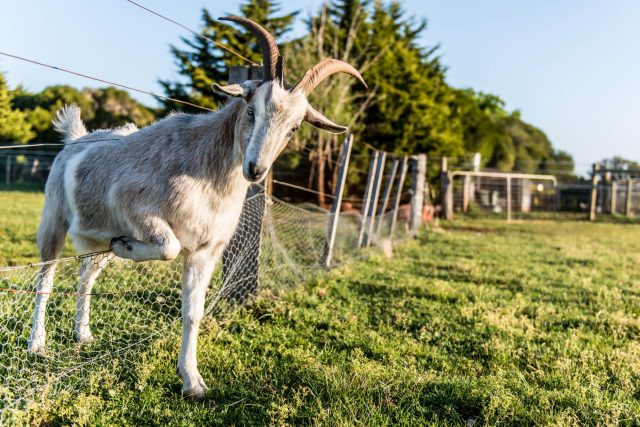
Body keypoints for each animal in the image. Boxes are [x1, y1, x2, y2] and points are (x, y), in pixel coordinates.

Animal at [28, 16, 366, 398]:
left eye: (294, 127)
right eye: (251, 109)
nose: (256, 169)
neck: (206, 173)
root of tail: (75, 138)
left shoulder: (206, 251)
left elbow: (193, 312)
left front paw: (192, 381)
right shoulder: (136, 208)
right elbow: (169, 246)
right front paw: (129, 246)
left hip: (96, 241)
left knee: (86, 276)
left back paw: (83, 333)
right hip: (53, 220)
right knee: (45, 278)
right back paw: (37, 344)